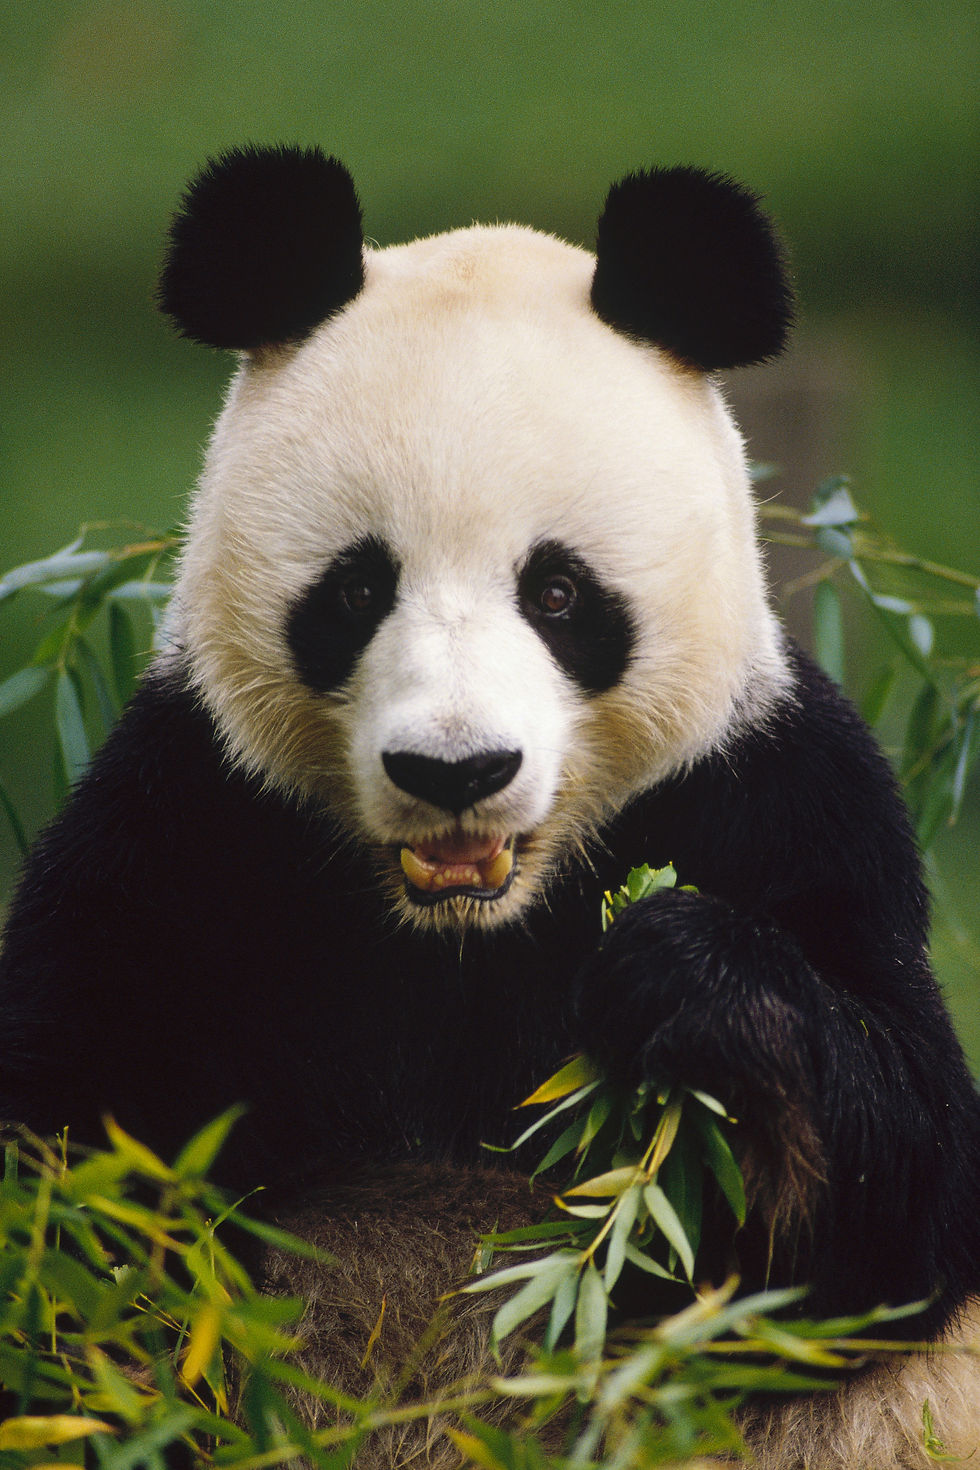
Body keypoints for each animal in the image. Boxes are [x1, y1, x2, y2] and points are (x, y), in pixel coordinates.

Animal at [1, 144, 979, 1467]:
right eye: (356, 590)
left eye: (558, 592)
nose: (454, 771)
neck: (467, 936)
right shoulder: (191, 823)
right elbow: (70, 1181)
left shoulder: (775, 797)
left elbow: (897, 1202)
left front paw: (684, 979)